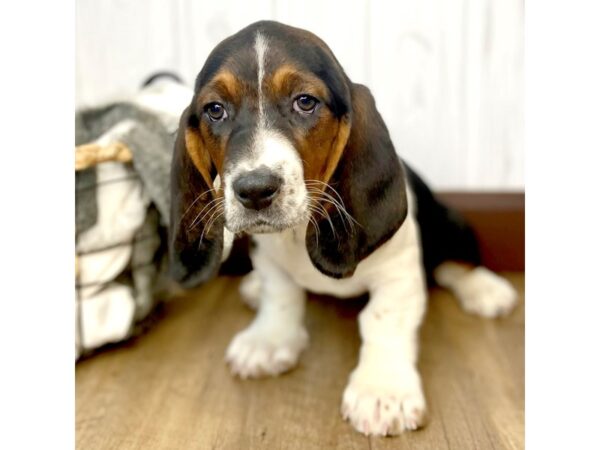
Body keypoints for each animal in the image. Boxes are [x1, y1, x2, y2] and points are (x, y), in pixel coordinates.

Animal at [168, 20, 516, 436]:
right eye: (215, 110)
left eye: (305, 102)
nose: (254, 190)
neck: (297, 232)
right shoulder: (269, 260)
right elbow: (280, 295)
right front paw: (268, 340)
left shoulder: (398, 274)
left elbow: (382, 320)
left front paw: (382, 391)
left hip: (450, 222)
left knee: (455, 263)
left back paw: (484, 289)